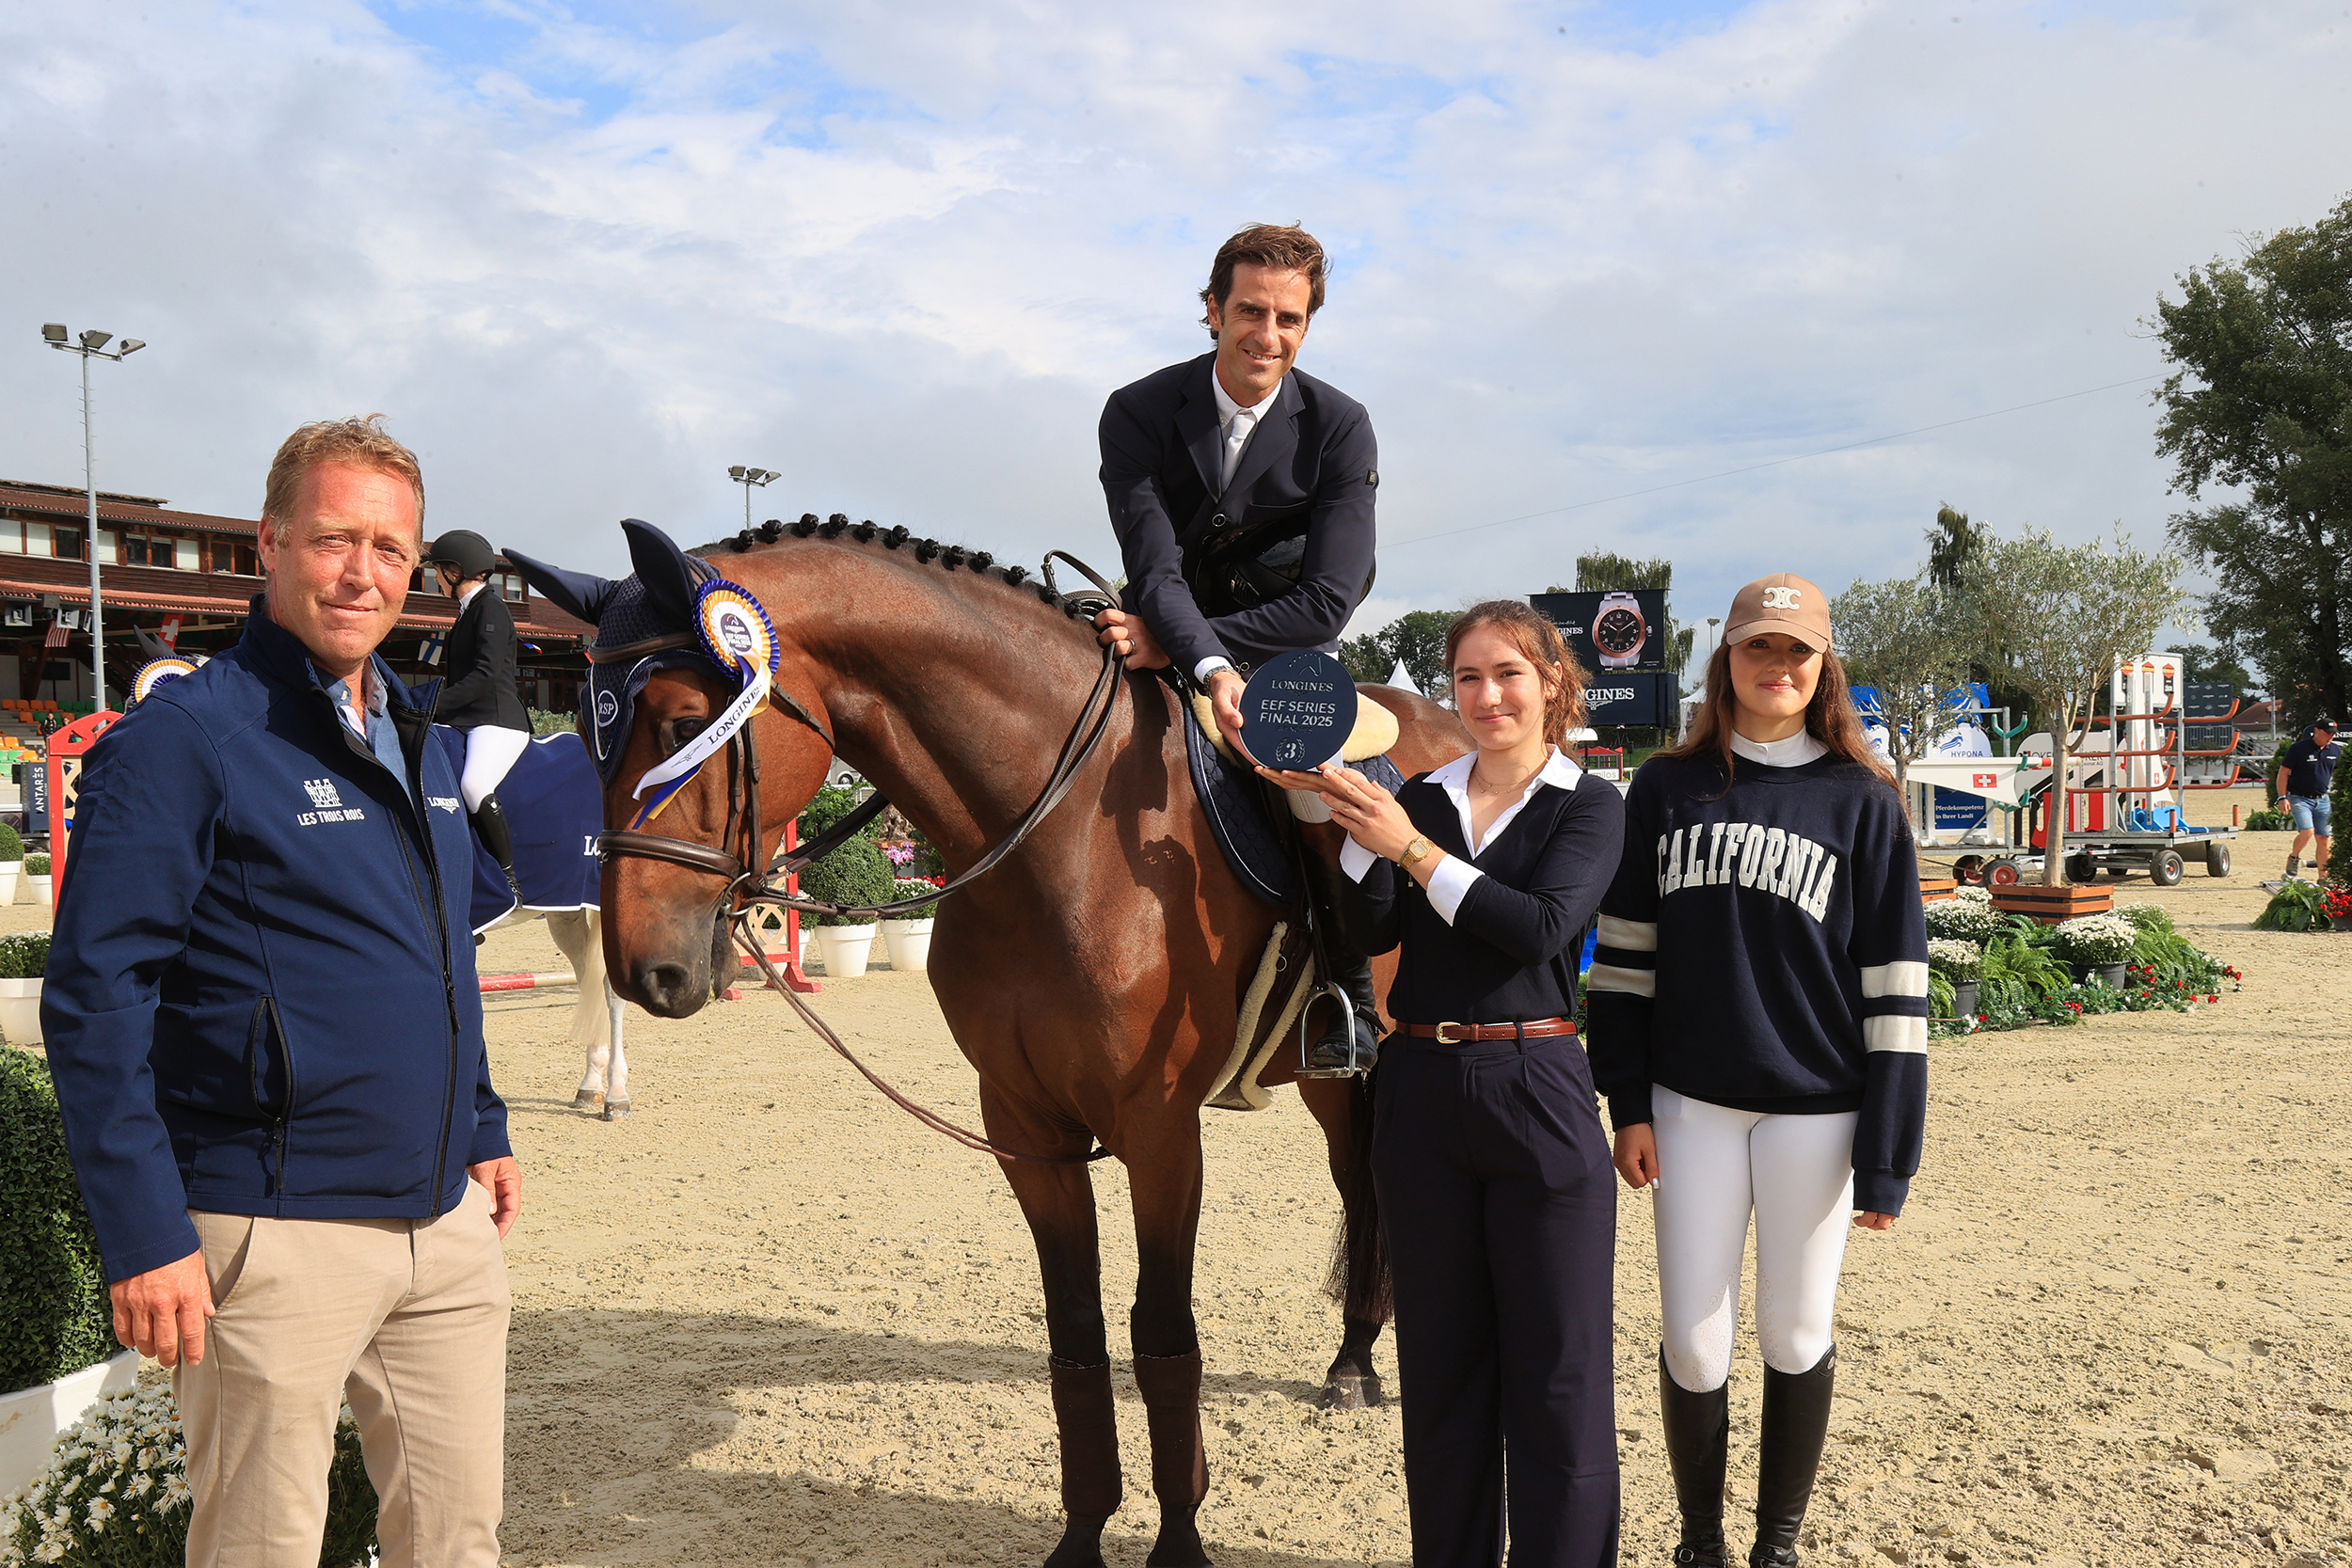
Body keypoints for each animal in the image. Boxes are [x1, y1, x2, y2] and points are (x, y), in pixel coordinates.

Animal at [516, 515, 1466, 1568]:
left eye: (685, 724)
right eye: (587, 735)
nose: (646, 968)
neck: (1060, 831)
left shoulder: (1160, 1131)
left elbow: (1163, 1333)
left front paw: (1178, 1538)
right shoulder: (1025, 1126)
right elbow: (1076, 1333)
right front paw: (1083, 1533)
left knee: (1367, 1188)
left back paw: (1358, 1364)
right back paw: (1353, 1359)